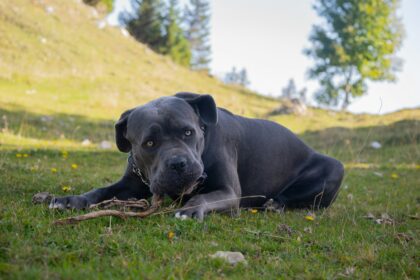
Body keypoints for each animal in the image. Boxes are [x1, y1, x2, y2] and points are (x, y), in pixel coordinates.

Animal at [50, 93, 344, 220]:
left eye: (188, 132)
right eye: (149, 143)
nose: (178, 164)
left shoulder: (228, 192)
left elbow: (204, 196)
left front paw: (190, 209)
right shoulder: (131, 184)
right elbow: (100, 190)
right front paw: (70, 199)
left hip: (335, 167)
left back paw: (275, 204)